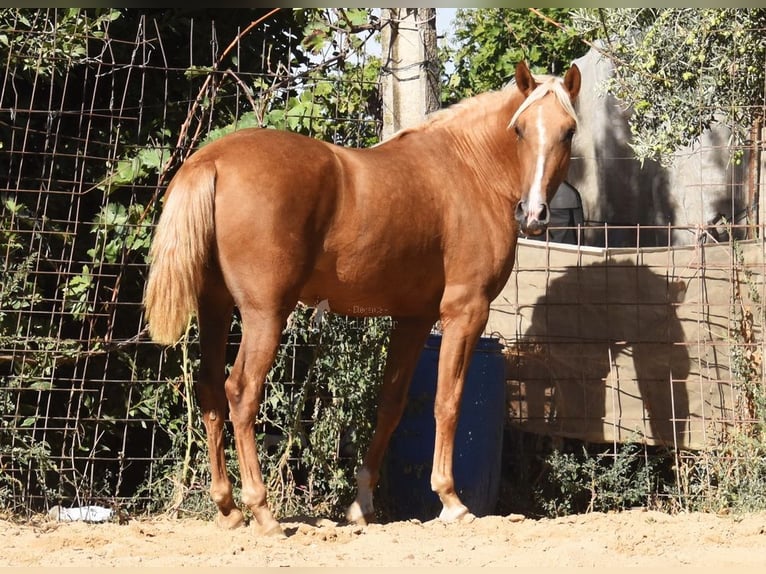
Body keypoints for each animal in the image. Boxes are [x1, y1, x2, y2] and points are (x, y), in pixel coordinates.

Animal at [146, 60, 584, 536]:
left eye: (567, 132)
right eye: (519, 130)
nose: (534, 214)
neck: (469, 168)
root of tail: (214, 160)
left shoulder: (413, 319)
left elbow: (391, 405)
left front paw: (362, 503)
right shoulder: (466, 312)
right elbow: (447, 402)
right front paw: (450, 500)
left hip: (215, 306)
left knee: (209, 389)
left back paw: (228, 508)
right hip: (265, 315)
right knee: (241, 392)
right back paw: (262, 510)